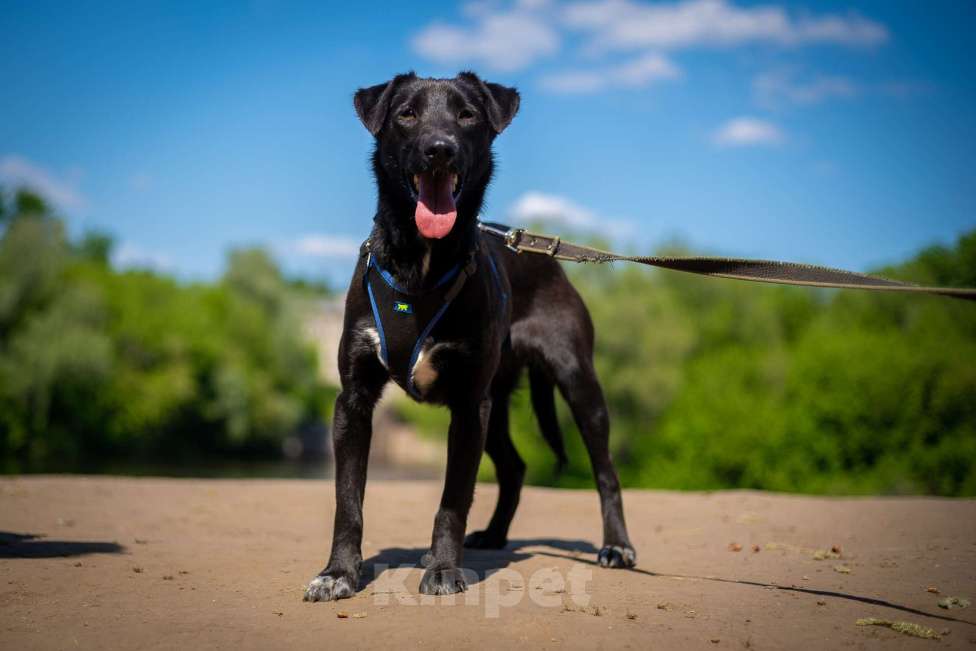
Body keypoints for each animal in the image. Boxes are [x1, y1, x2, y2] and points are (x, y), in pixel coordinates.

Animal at [306, 71, 640, 600]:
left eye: (467, 115)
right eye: (406, 114)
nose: (439, 149)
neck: (420, 263)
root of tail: (544, 256)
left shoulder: (466, 405)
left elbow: (453, 498)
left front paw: (443, 569)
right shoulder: (353, 400)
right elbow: (348, 500)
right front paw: (338, 573)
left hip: (576, 382)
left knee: (605, 469)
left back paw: (617, 546)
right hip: (496, 402)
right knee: (515, 465)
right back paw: (495, 534)